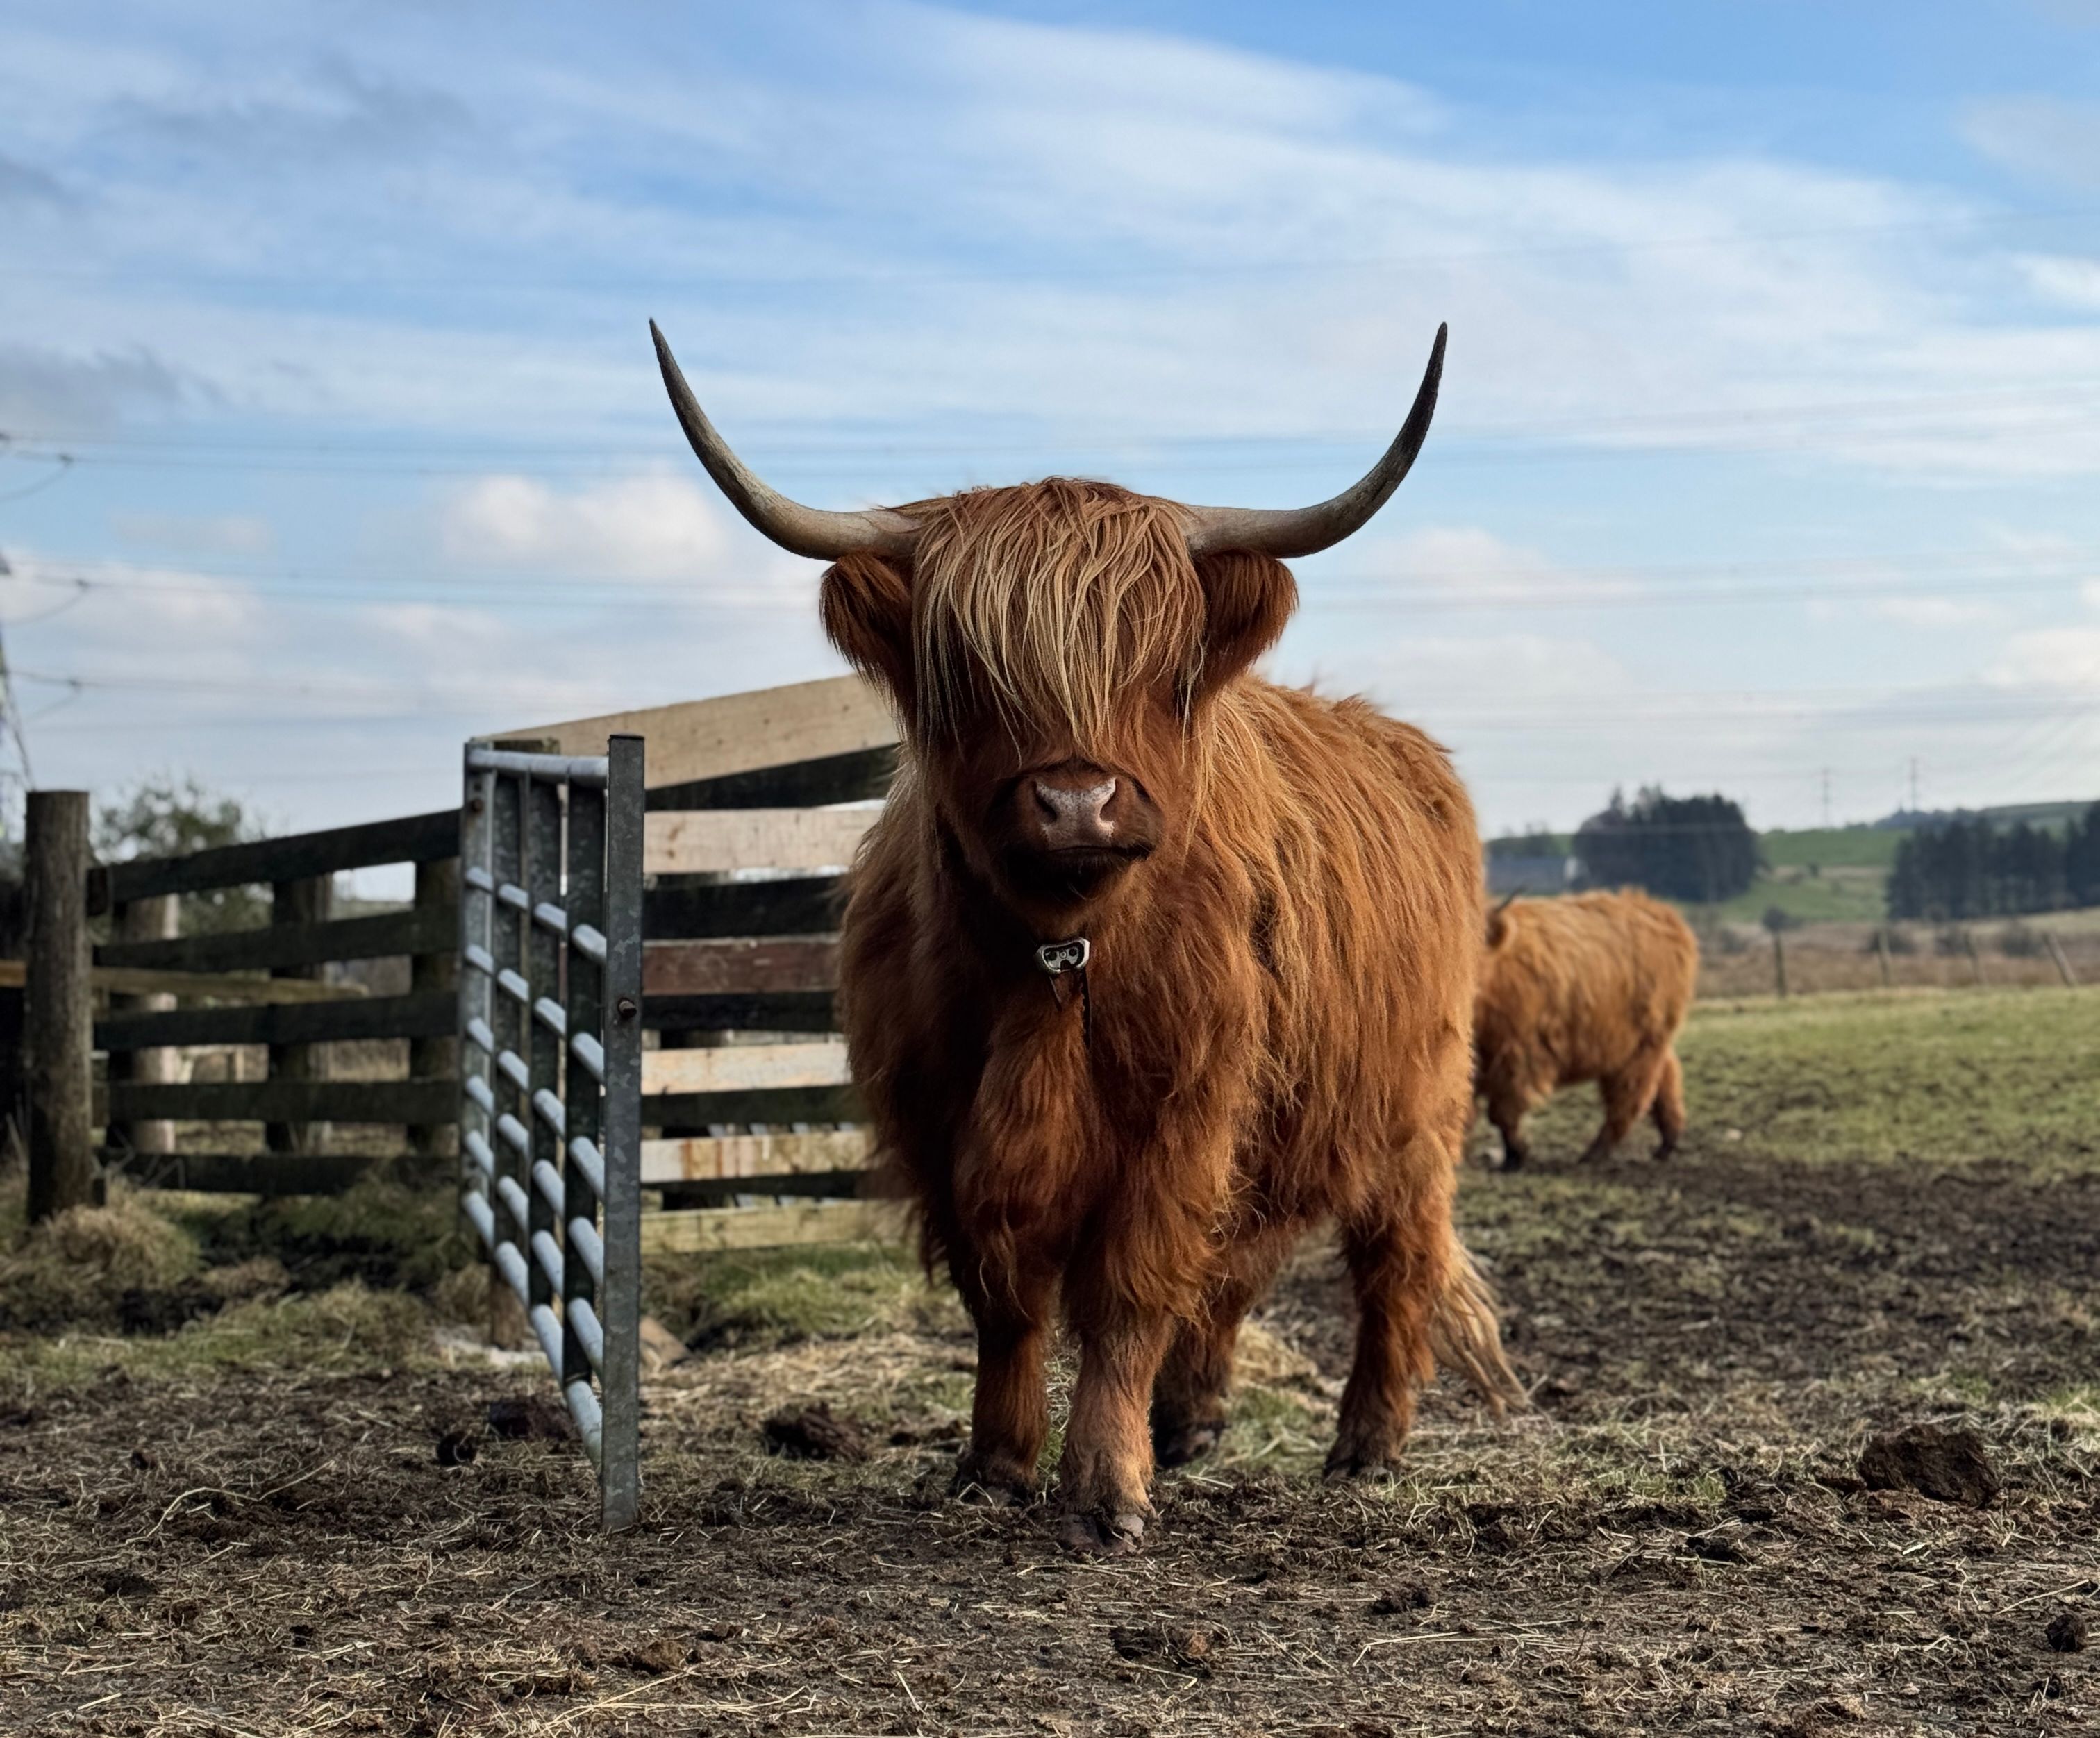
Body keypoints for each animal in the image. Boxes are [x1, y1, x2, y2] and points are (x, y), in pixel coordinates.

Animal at [647, 319, 1520, 1553]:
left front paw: (1107, 1483)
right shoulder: (941, 1116)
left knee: (1395, 1260)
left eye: (1157, 665)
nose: (1074, 803)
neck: (1058, 956)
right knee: (1240, 1261)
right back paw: (1194, 1417)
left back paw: (1366, 1444)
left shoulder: (1184, 1110)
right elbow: (1002, 1292)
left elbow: (1128, 1285)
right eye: (972, 672)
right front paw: (998, 1460)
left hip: (1417, 1107)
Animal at [1469, 894, 1697, 1167]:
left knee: (1628, 1099)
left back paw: (1596, 1152)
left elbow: (1502, 1113)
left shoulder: (1518, 1057)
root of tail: (1664, 914)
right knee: (1667, 1079)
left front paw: (1516, 1155)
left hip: (1640, 1048)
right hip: (1649, 1045)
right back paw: (1667, 1143)